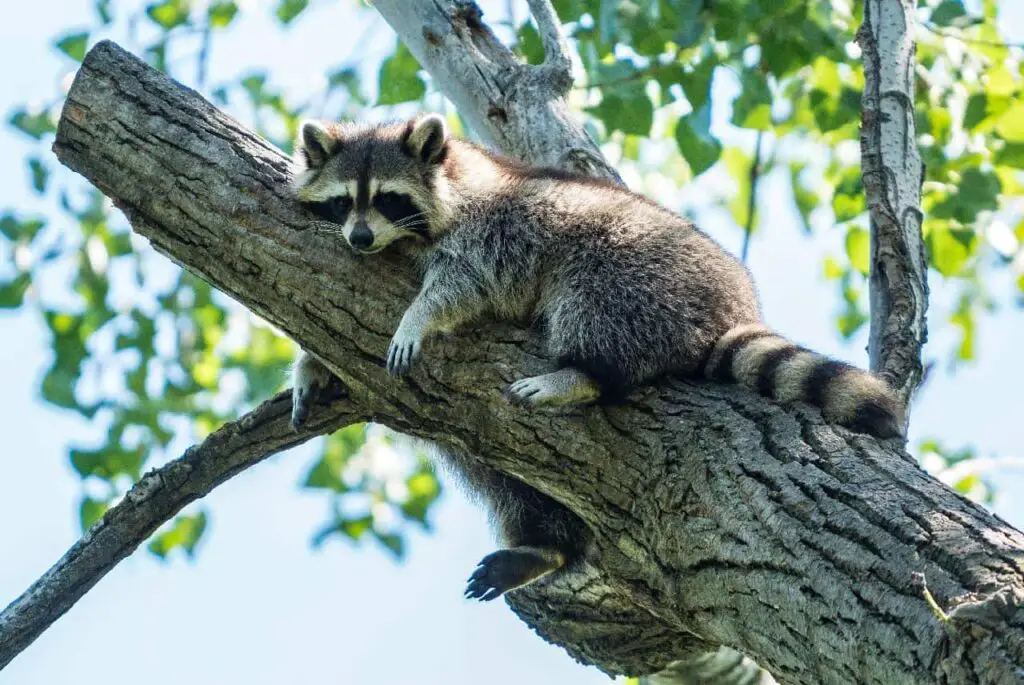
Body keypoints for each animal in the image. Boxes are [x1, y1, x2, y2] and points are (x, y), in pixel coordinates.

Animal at [288, 114, 905, 602]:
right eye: (344, 202)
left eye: (388, 198)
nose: (360, 239)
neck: (458, 176)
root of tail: (730, 308)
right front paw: (311, 367)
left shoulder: (494, 233)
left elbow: (462, 286)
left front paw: (417, 316)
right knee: (506, 482)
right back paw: (546, 546)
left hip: (640, 273)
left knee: (592, 298)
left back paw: (585, 375)